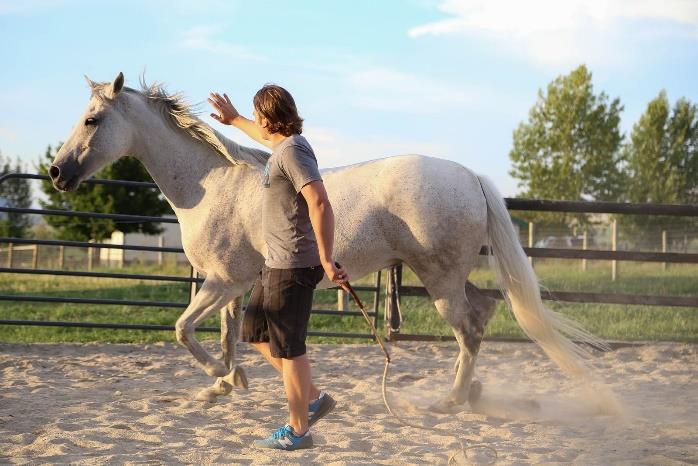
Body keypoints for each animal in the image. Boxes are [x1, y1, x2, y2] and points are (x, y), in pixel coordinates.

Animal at [49, 73, 608, 412]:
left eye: (92, 119)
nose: (57, 172)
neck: (212, 184)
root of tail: (471, 176)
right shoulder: (233, 287)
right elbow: (228, 337)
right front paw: (228, 382)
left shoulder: (221, 281)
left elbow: (184, 329)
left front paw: (222, 378)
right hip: (450, 277)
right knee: (485, 311)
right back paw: (471, 391)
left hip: (440, 279)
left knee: (469, 328)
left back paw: (450, 400)